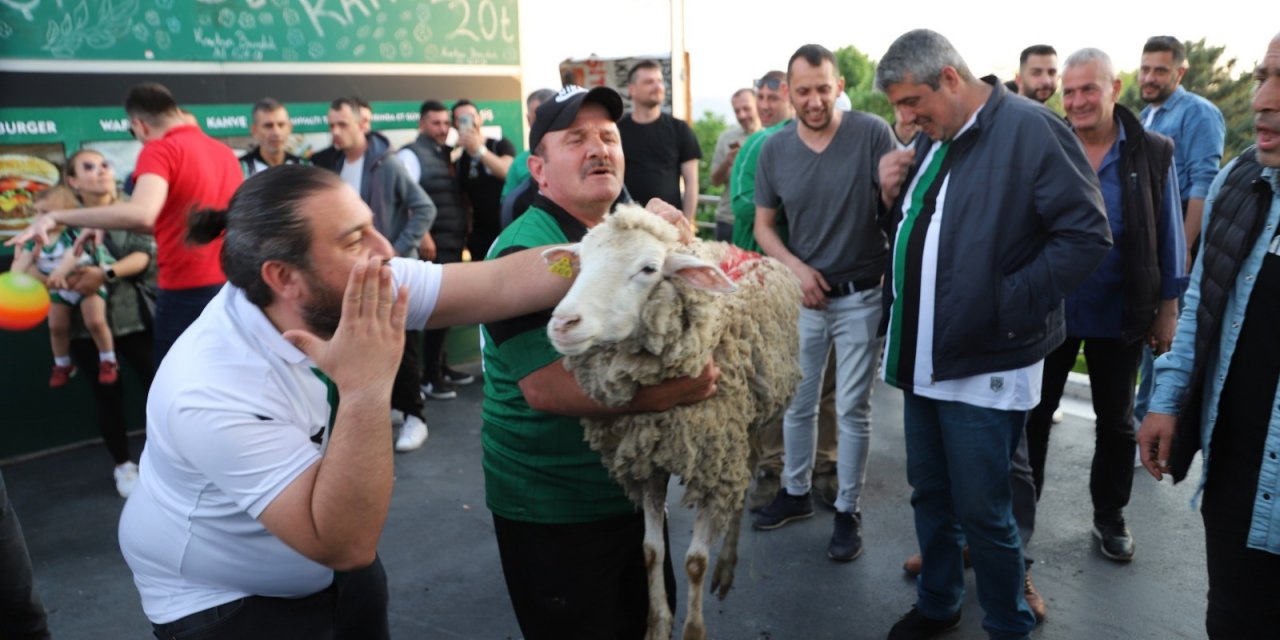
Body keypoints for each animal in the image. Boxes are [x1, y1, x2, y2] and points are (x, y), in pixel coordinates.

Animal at [542, 203, 798, 640]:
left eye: (648, 269)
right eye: (581, 262)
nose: (563, 324)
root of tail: (740, 249)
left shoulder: (713, 464)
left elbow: (694, 561)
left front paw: (693, 628)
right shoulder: (646, 463)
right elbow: (650, 550)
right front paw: (656, 624)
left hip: (752, 421)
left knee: (743, 481)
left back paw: (726, 566)